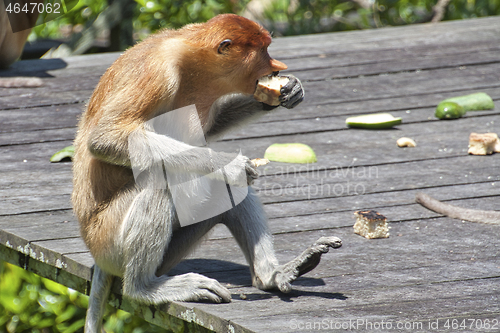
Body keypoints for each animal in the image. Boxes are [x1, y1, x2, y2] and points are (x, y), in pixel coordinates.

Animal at [71, 13, 344, 330]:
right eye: (263, 50)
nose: (278, 66)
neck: (191, 60)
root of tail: (95, 254)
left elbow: (211, 129)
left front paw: (286, 91)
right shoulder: (157, 74)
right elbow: (106, 138)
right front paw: (231, 164)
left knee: (225, 190)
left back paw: (274, 275)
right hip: (108, 242)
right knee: (159, 182)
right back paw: (145, 288)